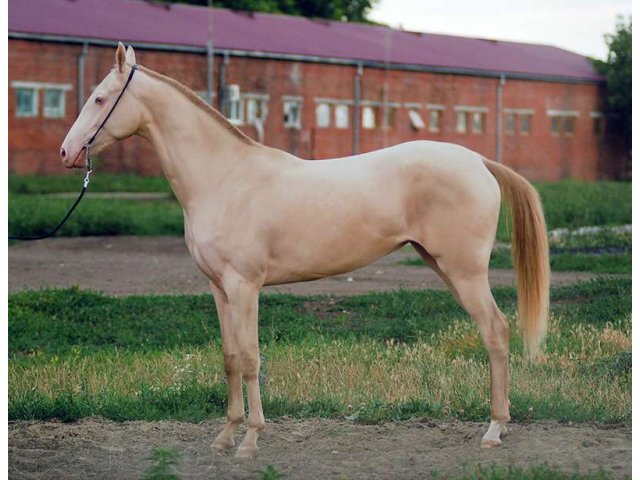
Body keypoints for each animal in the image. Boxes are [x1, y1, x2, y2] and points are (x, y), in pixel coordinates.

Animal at [61, 42, 552, 458]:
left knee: (496, 331)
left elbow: (251, 358)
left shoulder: (244, 286)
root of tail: (479, 161)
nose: (66, 152)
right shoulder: (219, 289)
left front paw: (250, 441)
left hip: (465, 272)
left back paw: (494, 429)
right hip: (443, 266)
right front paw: (225, 436)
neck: (224, 178)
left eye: (101, 99)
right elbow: (229, 358)